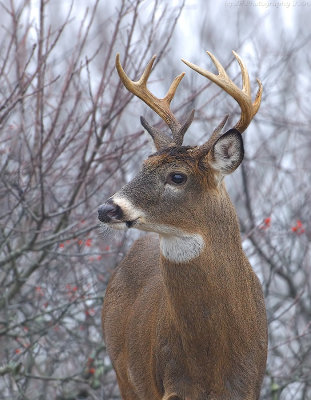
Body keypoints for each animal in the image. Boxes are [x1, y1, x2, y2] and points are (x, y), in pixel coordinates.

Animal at [99, 51, 268, 398]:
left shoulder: (249, 386)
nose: (106, 208)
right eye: (144, 164)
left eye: (177, 176)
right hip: (125, 375)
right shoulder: (171, 384)